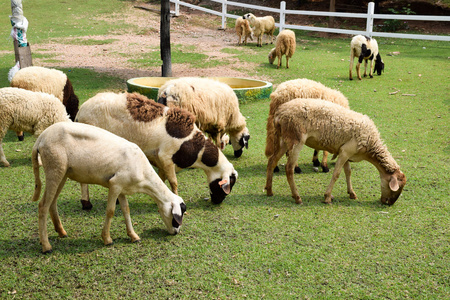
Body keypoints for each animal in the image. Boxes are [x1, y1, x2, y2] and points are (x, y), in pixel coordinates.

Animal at [32, 122, 186, 253]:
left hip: (62, 172)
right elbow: (111, 211)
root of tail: (41, 138)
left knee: (52, 203)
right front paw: (107, 239)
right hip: (54, 167)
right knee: (43, 205)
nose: (176, 232)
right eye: (177, 218)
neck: (144, 177)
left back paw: (61, 232)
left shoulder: (122, 188)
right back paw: (46, 246)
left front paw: (133, 236)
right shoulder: (115, 184)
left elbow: (126, 210)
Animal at [76, 91, 239, 209]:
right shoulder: (166, 158)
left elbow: (162, 180)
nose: (218, 202)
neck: (196, 148)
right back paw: (86, 204)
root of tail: (80, 112)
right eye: (229, 185)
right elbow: (174, 182)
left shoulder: (161, 163)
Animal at [266, 98, 406, 206]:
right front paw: (327, 197)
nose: (389, 203)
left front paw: (352, 193)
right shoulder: (346, 151)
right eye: (397, 188)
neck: (371, 145)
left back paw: (269, 191)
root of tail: (279, 114)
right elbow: (336, 174)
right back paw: (297, 197)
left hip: (285, 140)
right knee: (289, 168)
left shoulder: (345, 152)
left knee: (272, 161)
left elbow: (348, 172)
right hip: (296, 139)